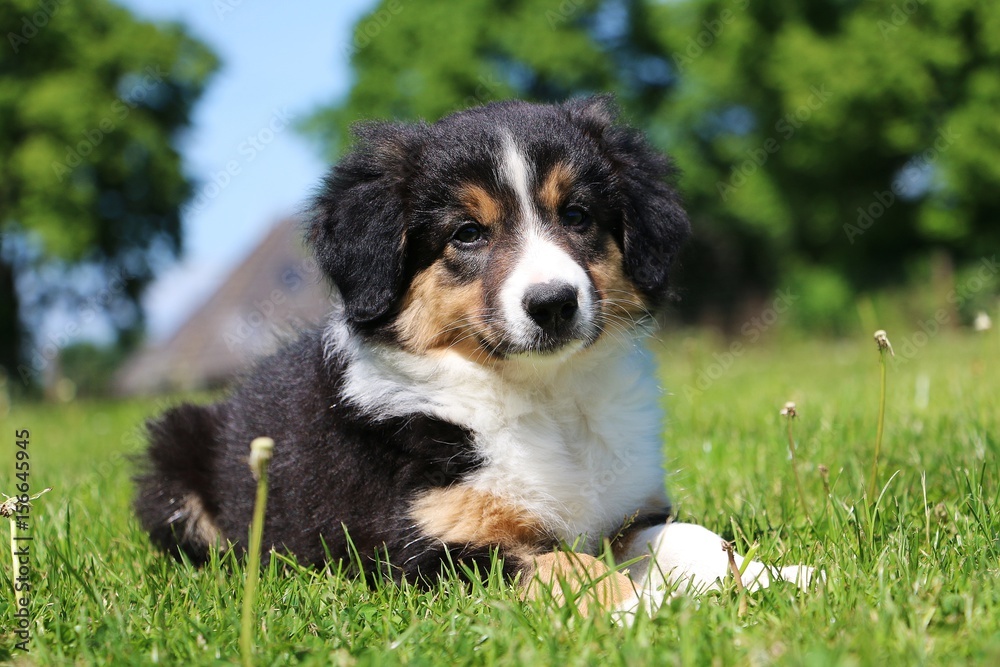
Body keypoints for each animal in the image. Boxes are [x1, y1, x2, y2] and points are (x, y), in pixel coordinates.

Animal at [133, 95, 816, 616]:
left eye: (578, 215)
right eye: (467, 234)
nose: (554, 303)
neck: (544, 398)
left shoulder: (629, 513)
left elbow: (692, 536)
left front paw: (775, 578)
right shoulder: (430, 548)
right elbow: (567, 565)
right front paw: (644, 607)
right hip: (172, 451)